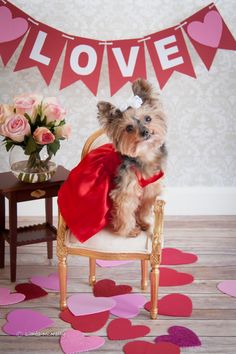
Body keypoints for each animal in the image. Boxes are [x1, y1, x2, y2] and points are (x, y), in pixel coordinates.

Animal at [97, 79, 167, 236]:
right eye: (129, 128)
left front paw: (143, 223)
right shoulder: (125, 190)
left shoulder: (150, 187)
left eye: (148, 118)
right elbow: (125, 211)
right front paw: (130, 230)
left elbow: (144, 207)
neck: (145, 154)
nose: (145, 131)